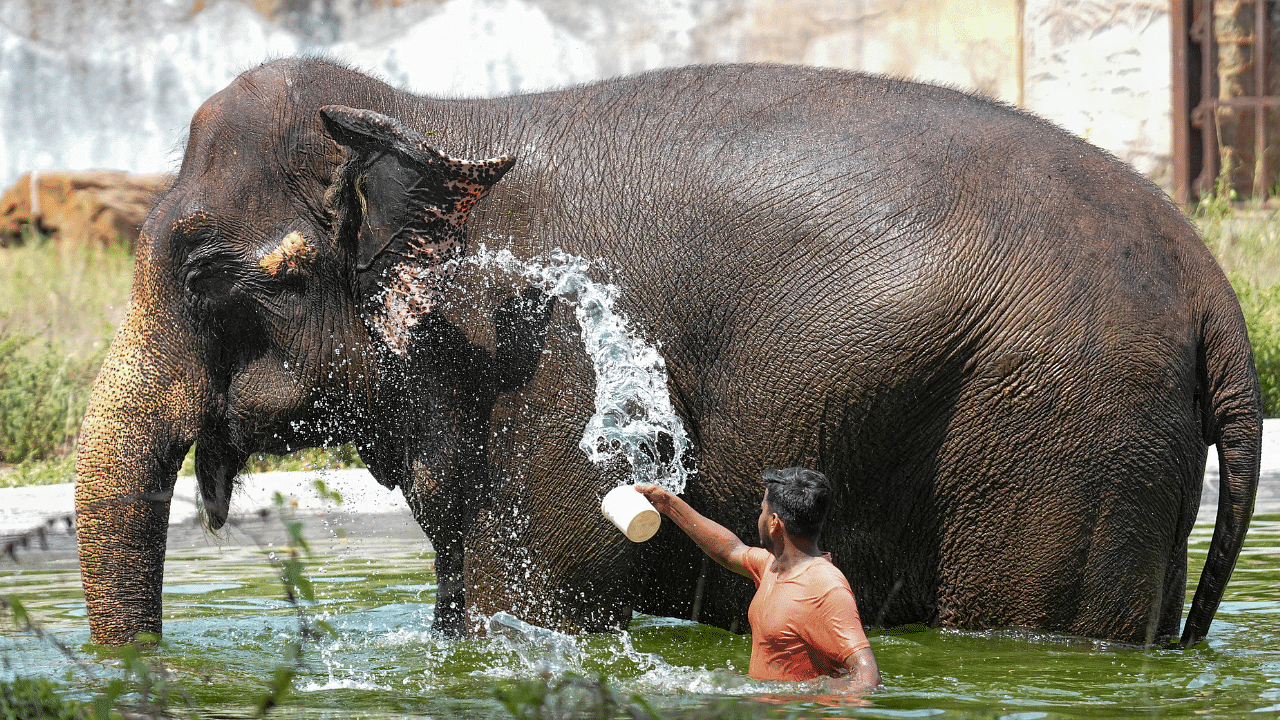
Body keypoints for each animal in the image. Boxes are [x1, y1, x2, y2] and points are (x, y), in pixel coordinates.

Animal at [74, 58, 1264, 648]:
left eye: (200, 273)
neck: (431, 114)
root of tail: (1216, 294)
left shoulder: (545, 368)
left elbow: (525, 602)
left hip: (1061, 428)